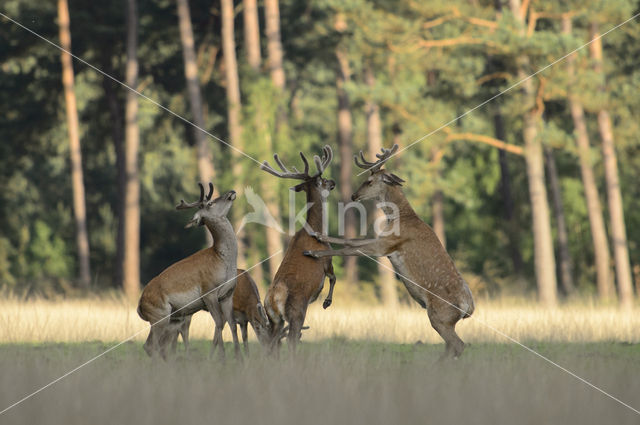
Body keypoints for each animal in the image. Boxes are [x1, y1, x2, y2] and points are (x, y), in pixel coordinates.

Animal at [138, 182, 242, 358]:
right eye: (210, 203)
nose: (231, 192)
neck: (222, 260)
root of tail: (139, 307)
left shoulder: (228, 294)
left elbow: (232, 324)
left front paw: (239, 358)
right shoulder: (209, 292)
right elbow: (219, 323)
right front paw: (221, 357)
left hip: (171, 318)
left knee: (157, 345)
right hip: (159, 316)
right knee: (151, 345)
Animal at [260, 144, 340, 352]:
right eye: (322, 180)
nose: (333, 182)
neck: (316, 230)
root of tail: (273, 299)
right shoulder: (327, 258)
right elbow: (333, 277)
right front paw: (327, 302)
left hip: (275, 320)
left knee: (272, 343)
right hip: (297, 311)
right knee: (292, 339)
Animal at [304, 146, 476, 358]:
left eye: (369, 181)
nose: (353, 196)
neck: (399, 218)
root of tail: (469, 309)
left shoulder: (387, 245)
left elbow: (349, 249)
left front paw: (312, 252)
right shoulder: (383, 241)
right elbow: (350, 241)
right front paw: (319, 235)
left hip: (440, 315)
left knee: (458, 344)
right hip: (444, 319)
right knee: (452, 346)